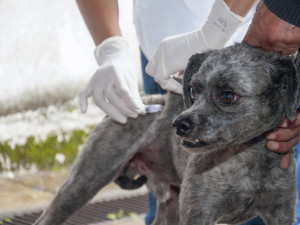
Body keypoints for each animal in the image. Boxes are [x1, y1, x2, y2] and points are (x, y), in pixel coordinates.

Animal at [33, 42, 298, 225]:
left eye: (228, 95)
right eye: (193, 90)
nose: (179, 123)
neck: (247, 156)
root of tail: (146, 102)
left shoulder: (282, 212)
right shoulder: (198, 214)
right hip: (83, 182)